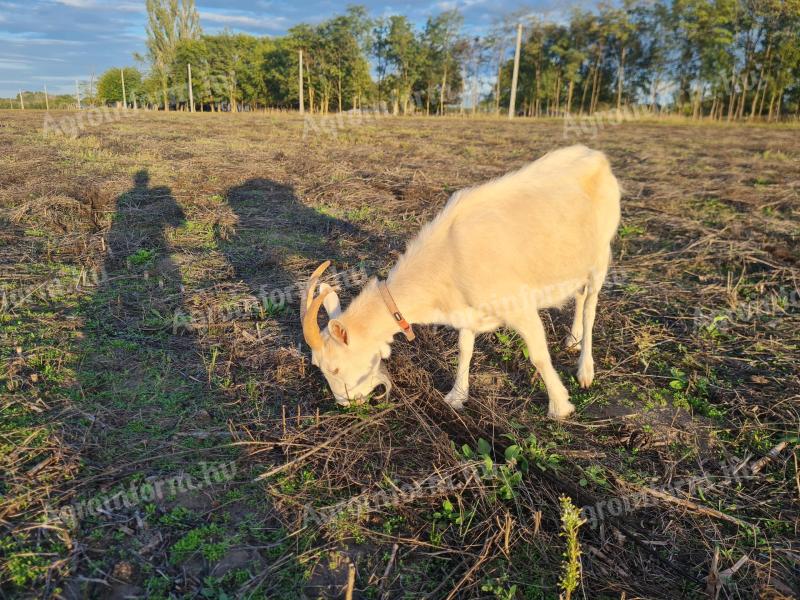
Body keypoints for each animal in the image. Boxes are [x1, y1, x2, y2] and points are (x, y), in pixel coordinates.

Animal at [300, 144, 620, 418]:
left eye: (334, 368)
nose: (346, 403)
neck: (449, 253)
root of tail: (596, 155)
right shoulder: (465, 307)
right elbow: (464, 348)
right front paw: (456, 396)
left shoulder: (518, 305)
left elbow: (539, 356)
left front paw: (560, 407)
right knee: (580, 295)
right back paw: (573, 339)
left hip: (601, 253)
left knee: (591, 305)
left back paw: (585, 370)